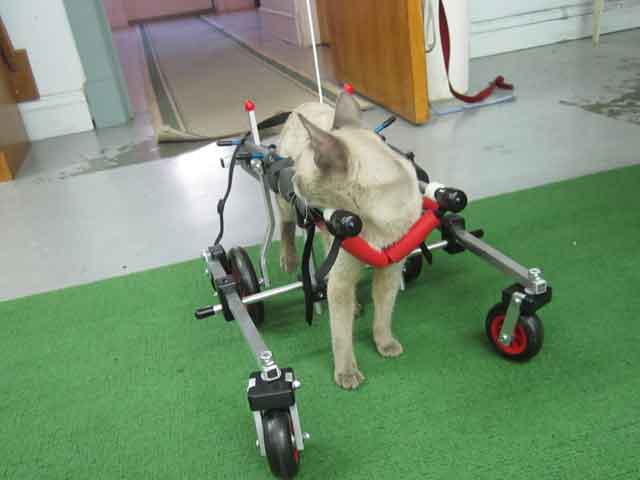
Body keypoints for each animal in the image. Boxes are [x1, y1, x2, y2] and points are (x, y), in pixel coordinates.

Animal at [274, 94, 420, 390]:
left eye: (299, 178)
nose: (292, 180)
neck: (376, 221)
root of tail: (302, 104)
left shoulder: (390, 271)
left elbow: (383, 315)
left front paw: (385, 345)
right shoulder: (341, 278)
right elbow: (341, 335)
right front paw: (347, 374)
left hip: (325, 233)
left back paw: (357, 308)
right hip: (287, 207)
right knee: (285, 226)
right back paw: (289, 260)